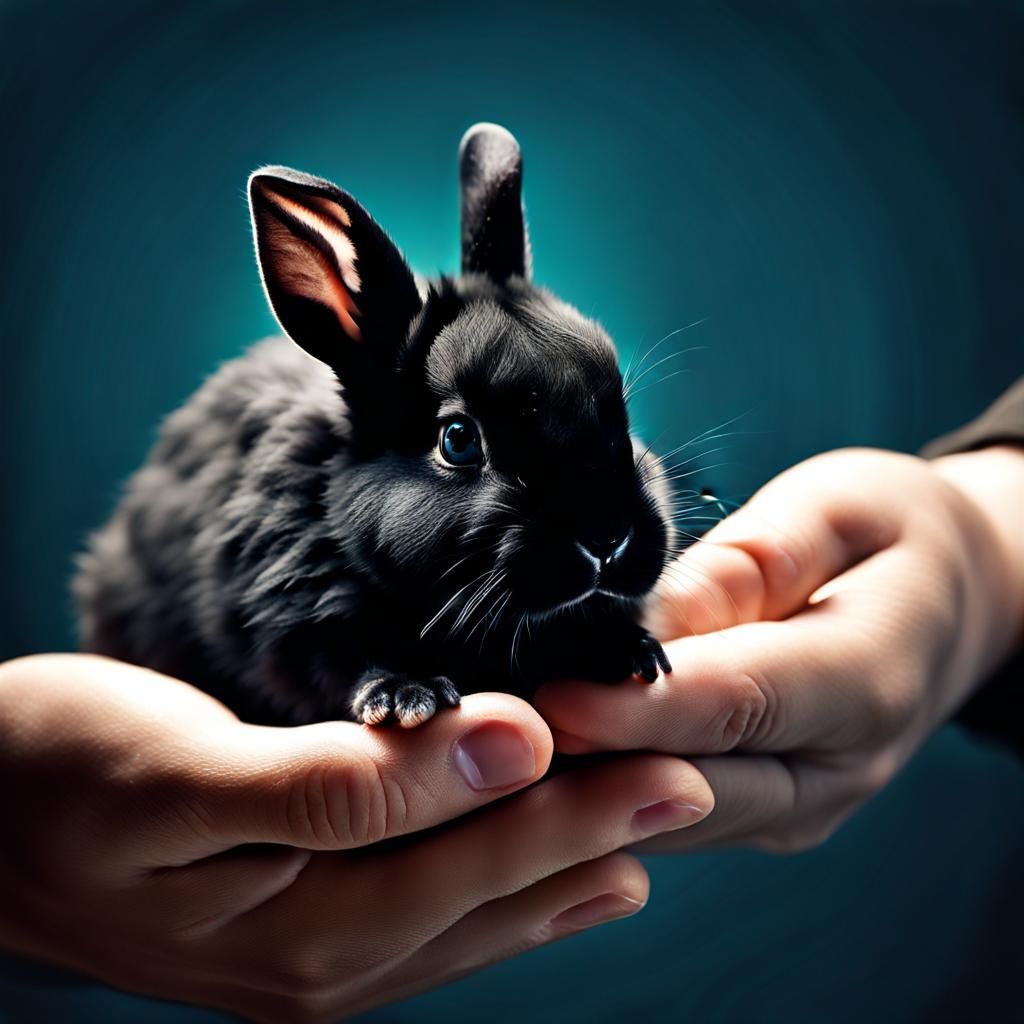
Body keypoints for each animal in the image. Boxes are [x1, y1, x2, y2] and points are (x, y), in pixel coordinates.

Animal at [73, 123, 676, 728]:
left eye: (620, 413)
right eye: (458, 440)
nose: (607, 539)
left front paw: (631, 652)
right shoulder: (301, 617)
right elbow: (349, 660)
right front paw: (408, 695)